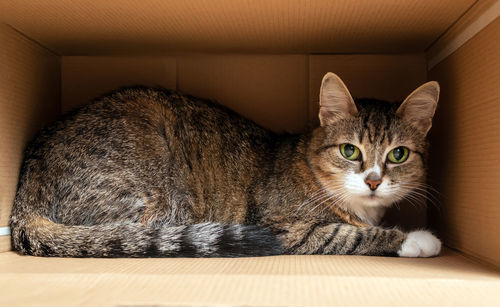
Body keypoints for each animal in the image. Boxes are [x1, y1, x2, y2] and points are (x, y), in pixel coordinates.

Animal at [8, 73, 442, 258]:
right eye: (350, 151)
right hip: (153, 200)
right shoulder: (285, 229)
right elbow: (346, 234)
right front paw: (416, 240)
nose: (373, 181)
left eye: (398, 154)